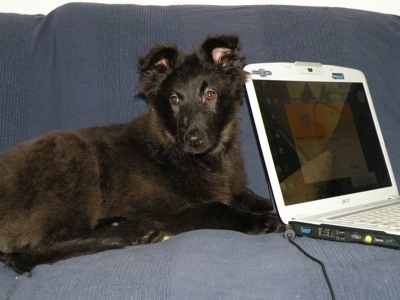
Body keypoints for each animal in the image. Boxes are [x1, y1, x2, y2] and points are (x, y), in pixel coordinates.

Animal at [0, 34, 282, 274]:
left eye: (210, 95)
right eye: (174, 100)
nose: (193, 139)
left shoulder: (233, 188)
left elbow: (253, 197)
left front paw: (274, 211)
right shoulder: (159, 208)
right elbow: (215, 208)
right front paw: (262, 222)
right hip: (73, 153)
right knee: (36, 249)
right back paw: (134, 231)